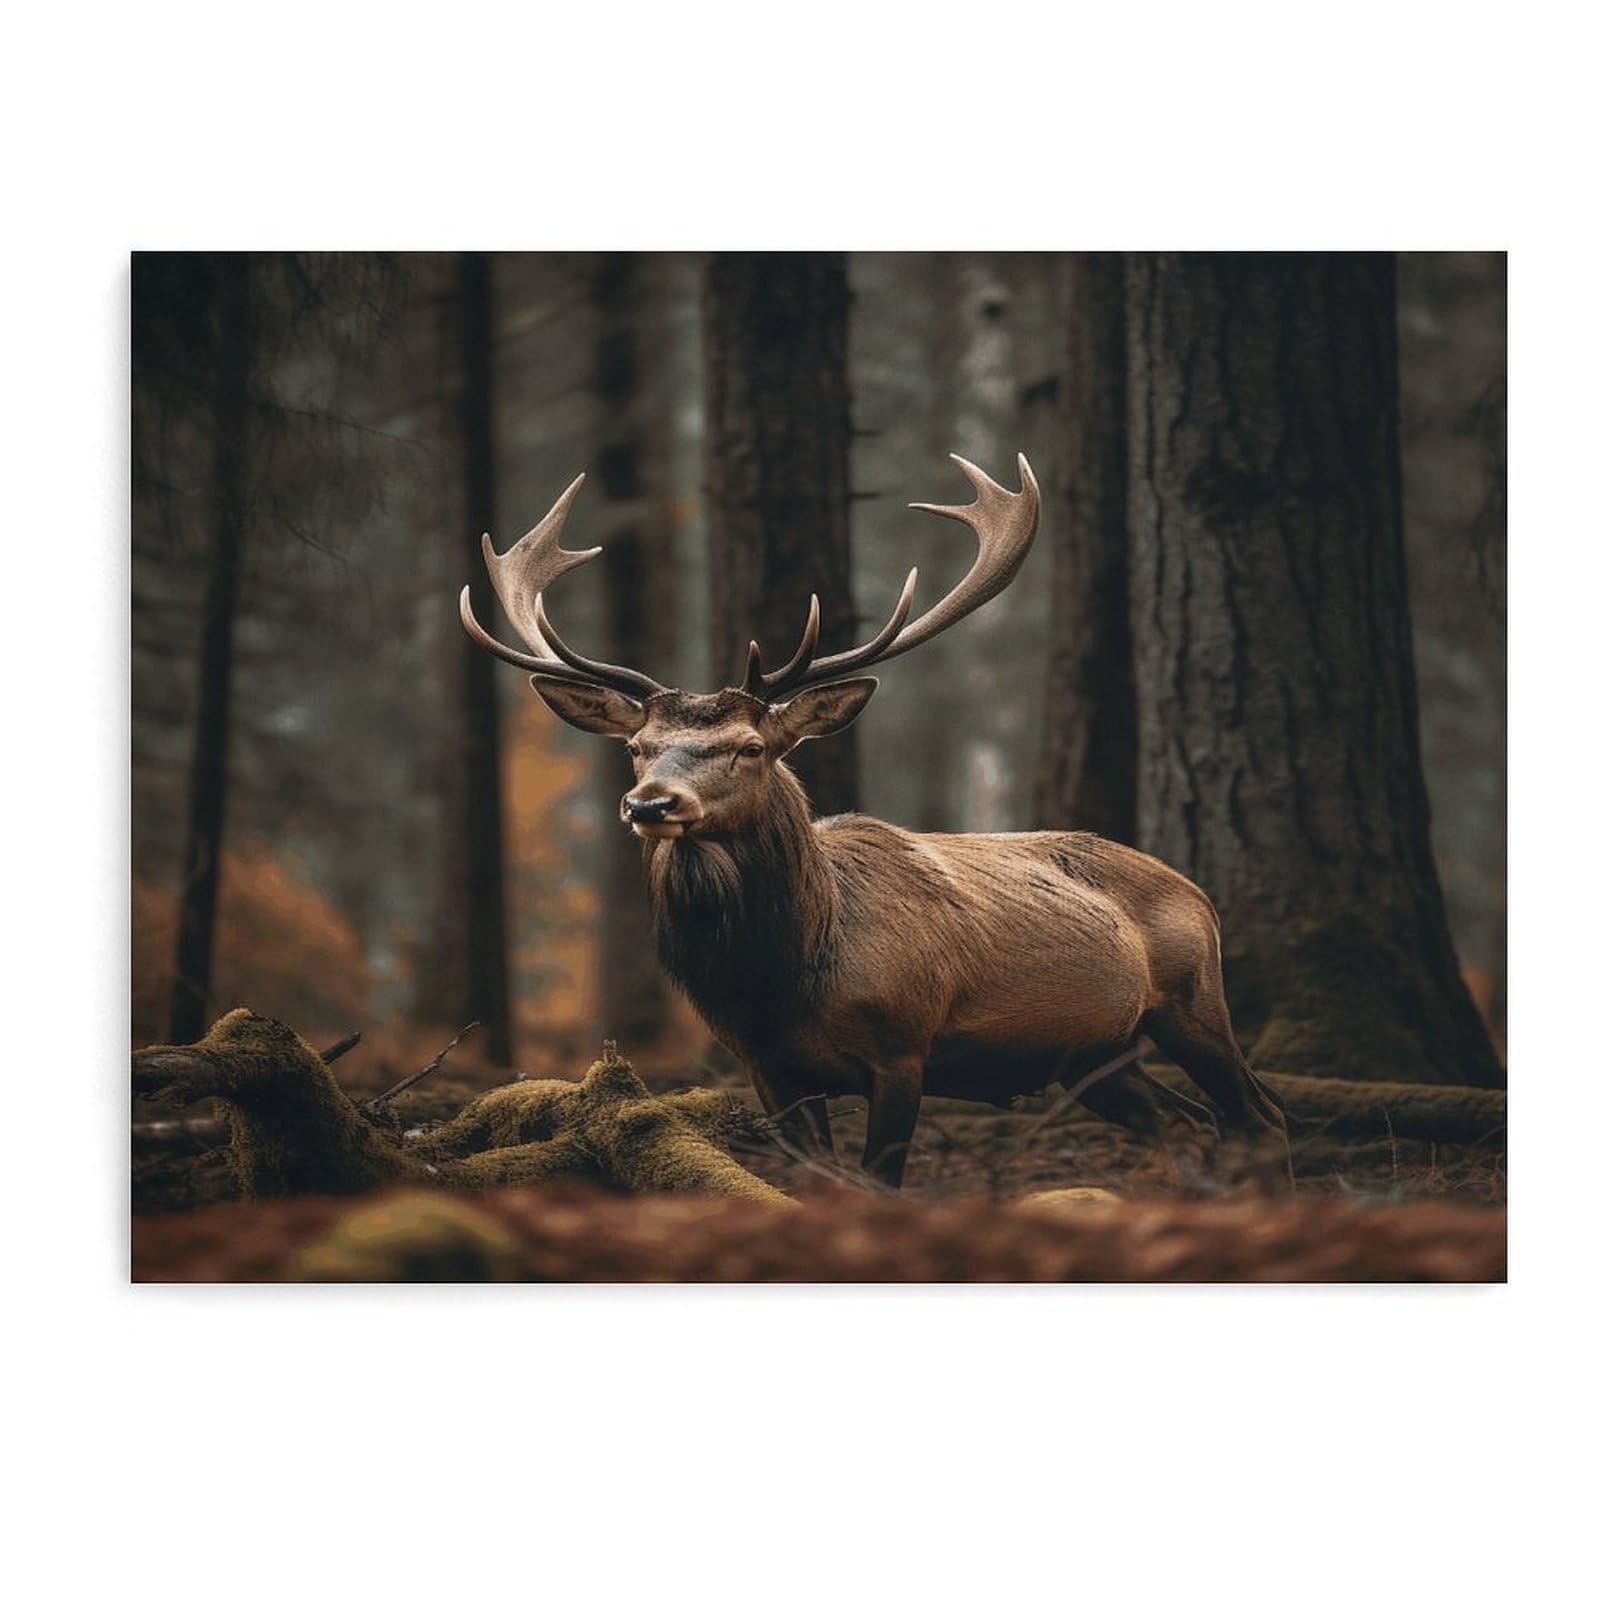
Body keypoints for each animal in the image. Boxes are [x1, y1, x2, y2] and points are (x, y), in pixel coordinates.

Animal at [460, 455, 1289, 1189]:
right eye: (637, 747)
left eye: (751, 746)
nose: (652, 804)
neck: (778, 980)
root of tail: (1196, 890)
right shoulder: (768, 1069)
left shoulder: (903, 1048)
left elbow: (880, 1182)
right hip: (1091, 1056)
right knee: (1183, 1122)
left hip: (1192, 999)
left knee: (1259, 1114)